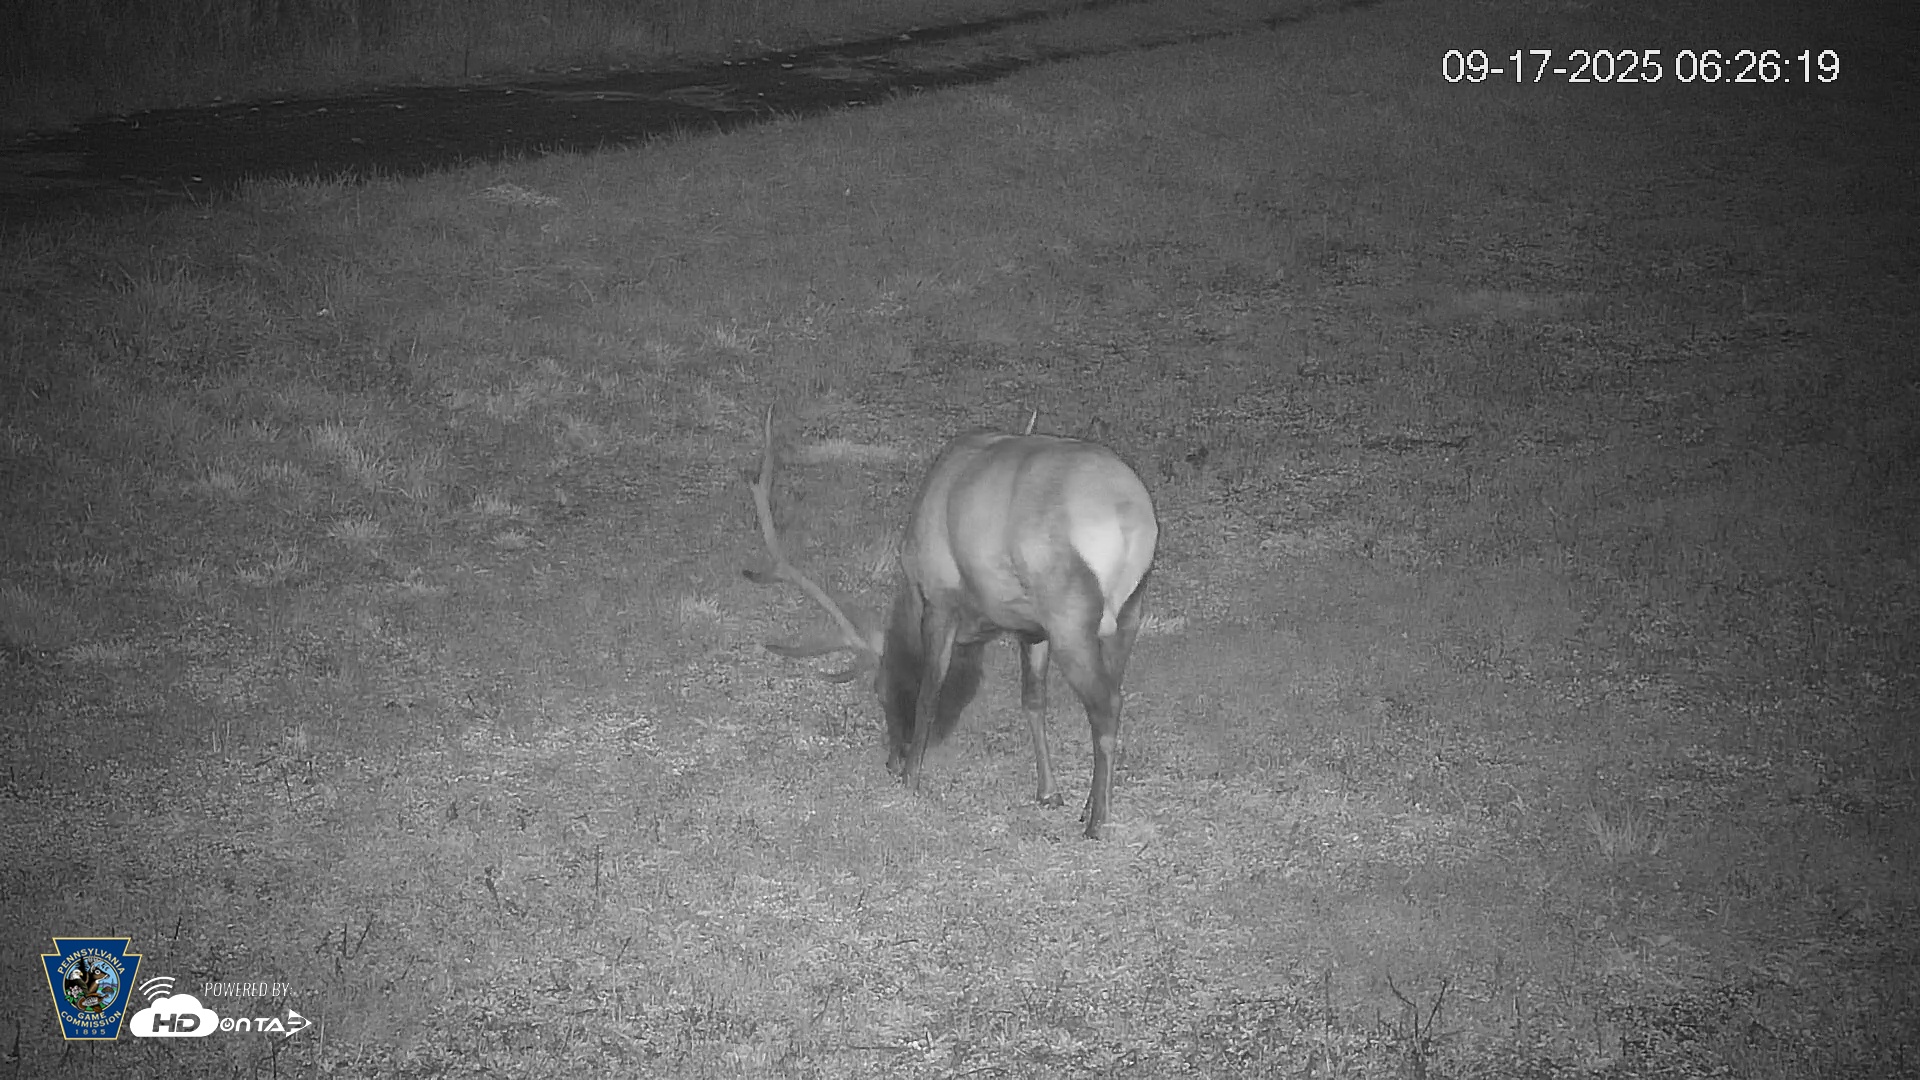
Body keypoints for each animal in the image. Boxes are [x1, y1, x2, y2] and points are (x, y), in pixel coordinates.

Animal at [747, 409, 1158, 838]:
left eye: (880, 690)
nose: (892, 760)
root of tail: (1131, 517)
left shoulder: (941, 598)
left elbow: (929, 691)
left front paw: (911, 779)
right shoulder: (1031, 627)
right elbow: (1032, 701)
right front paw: (1048, 791)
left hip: (1069, 612)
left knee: (1106, 705)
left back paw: (1097, 822)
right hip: (1129, 610)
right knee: (1113, 692)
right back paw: (1089, 804)